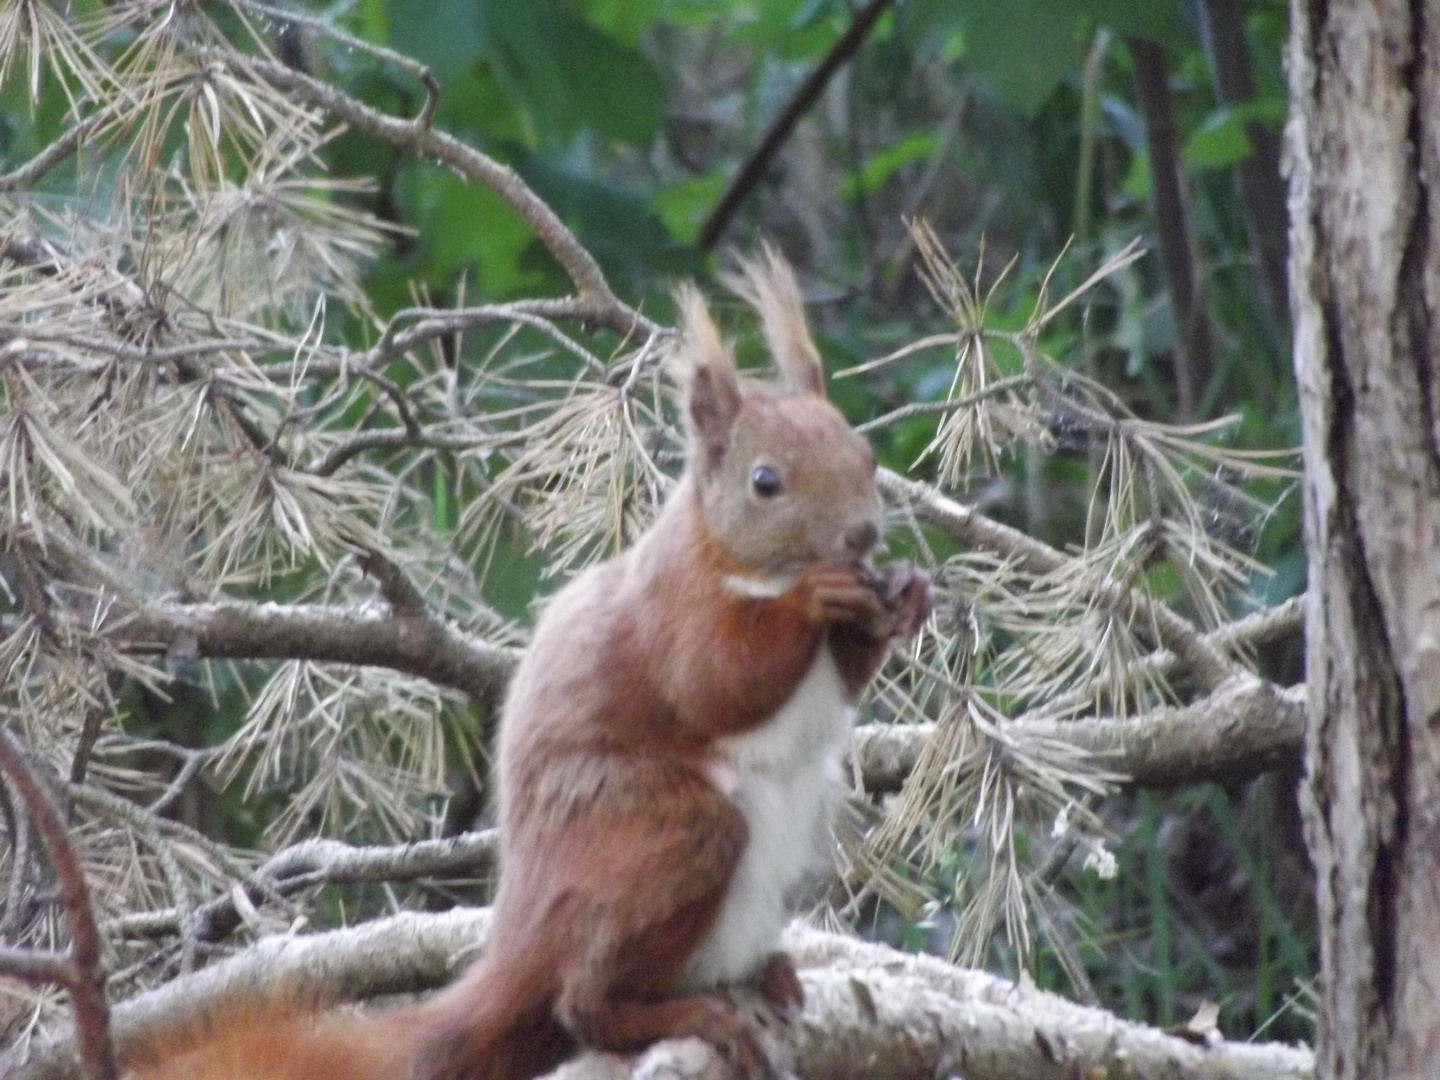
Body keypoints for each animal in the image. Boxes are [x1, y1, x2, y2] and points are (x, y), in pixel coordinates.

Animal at [120, 249, 933, 1080]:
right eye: (765, 482)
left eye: (865, 454)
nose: (864, 536)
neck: (743, 564)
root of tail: (520, 940)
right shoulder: (672, 608)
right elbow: (714, 681)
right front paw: (816, 598)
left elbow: (843, 674)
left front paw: (906, 595)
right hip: (661, 834)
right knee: (583, 1002)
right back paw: (675, 1013)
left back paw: (766, 975)